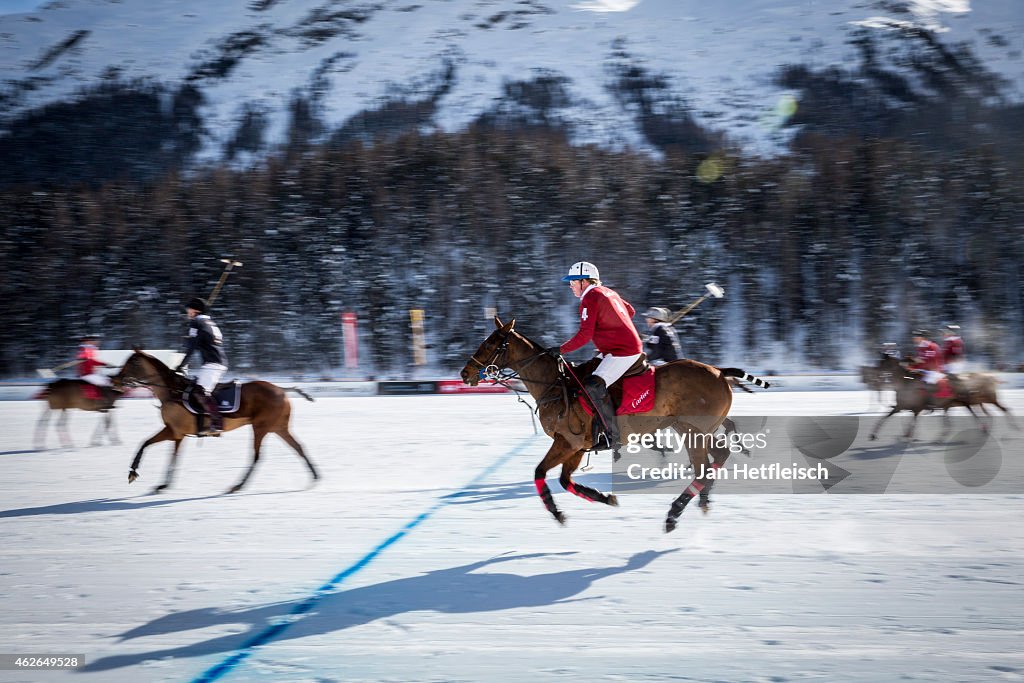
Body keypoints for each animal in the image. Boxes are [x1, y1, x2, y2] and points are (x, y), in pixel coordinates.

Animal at [111, 352, 319, 491]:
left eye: (132, 362)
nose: (115, 380)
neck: (172, 392)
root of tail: (282, 390)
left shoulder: (173, 431)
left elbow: (148, 445)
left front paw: (133, 472)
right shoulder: (176, 433)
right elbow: (164, 453)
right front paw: (162, 483)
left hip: (260, 427)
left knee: (257, 456)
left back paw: (238, 485)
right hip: (278, 427)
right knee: (298, 447)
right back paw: (315, 477)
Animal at [460, 317, 765, 532]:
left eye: (489, 343)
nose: (465, 373)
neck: (555, 385)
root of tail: (720, 371)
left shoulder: (567, 441)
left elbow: (540, 472)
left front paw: (557, 514)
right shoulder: (579, 446)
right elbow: (565, 480)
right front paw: (606, 497)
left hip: (692, 430)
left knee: (705, 467)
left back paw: (673, 514)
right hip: (690, 428)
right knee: (717, 456)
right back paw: (702, 499)